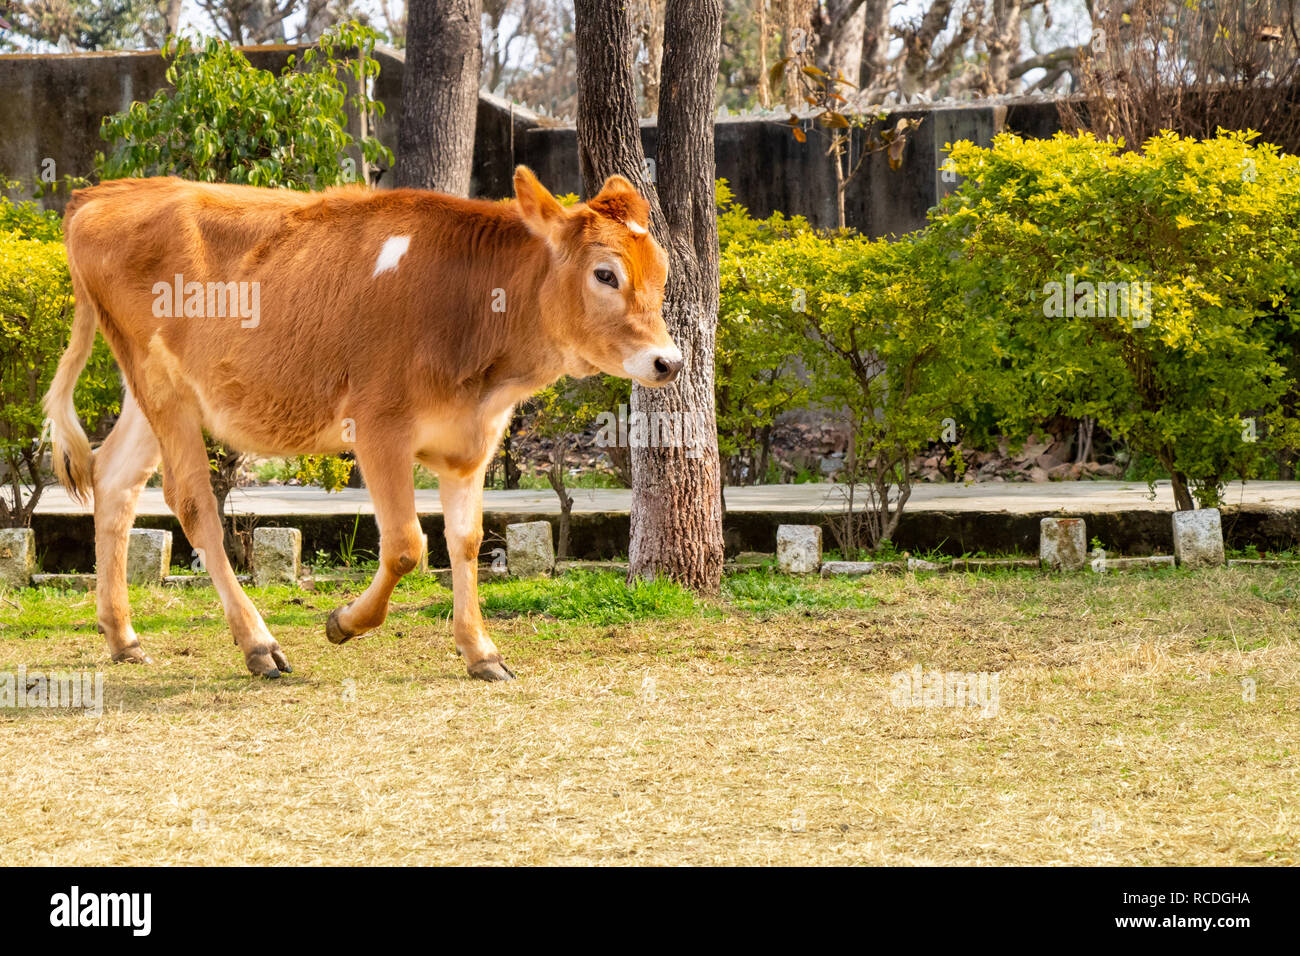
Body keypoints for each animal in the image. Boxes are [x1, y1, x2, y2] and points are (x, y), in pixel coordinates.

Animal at [43, 168, 680, 681]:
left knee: (115, 480)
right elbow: (405, 547)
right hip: (160, 382)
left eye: (664, 272)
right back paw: (258, 643)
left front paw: (480, 650)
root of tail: (104, 193)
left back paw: (123, 636)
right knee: (193, 504)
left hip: (156, 392)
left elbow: (466, 541)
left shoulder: (471, 440)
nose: (668, 361)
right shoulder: (379, 427)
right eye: (605, 274)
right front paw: (344, 622)